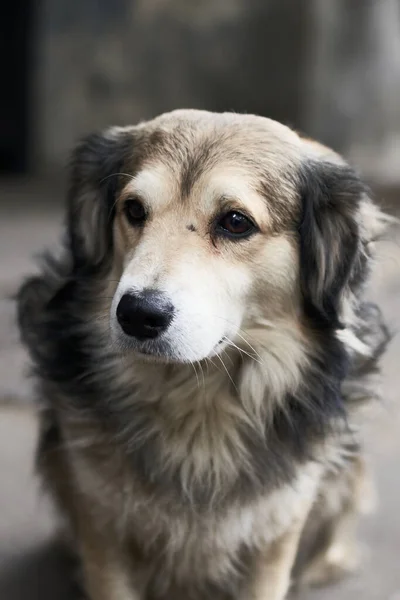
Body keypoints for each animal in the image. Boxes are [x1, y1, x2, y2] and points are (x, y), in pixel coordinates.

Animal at [17, 109, 390, 600]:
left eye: (235, 222)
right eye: (133, 210)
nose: (137, 314)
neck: (198, 401)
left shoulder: (277, 530)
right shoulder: (101, 524)